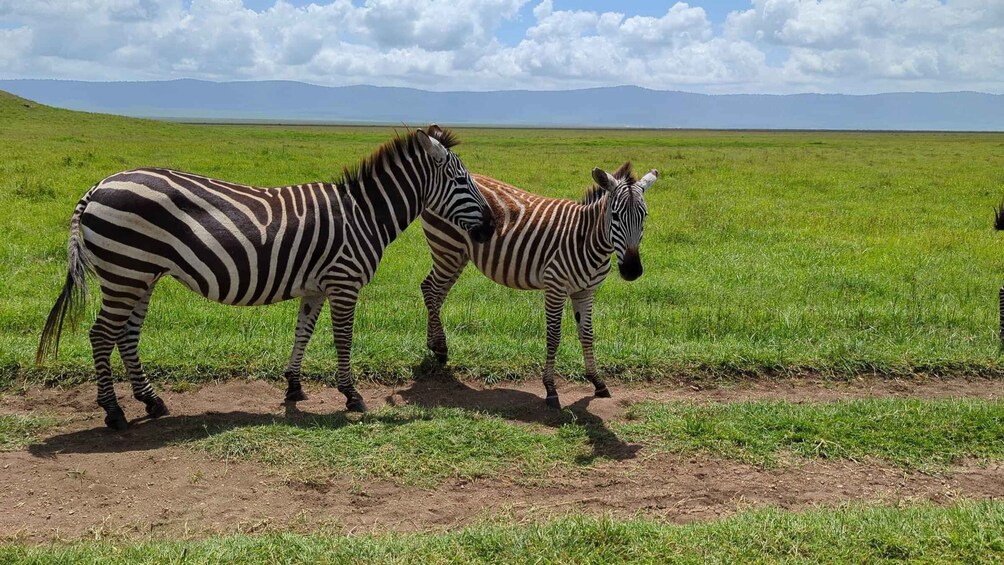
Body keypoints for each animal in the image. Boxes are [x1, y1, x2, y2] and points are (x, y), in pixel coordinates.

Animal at [36, 125, 494, 430]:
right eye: (461, 180)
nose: (490, 227)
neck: (364, 214)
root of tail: (97, 187)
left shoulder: (316, 286)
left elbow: (303, 333)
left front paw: (293, 387)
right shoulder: (344, 282)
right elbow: (343, 340)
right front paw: (351, 395)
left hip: (139, 275)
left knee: (125, 337)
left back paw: (152, 402)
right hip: (125, 271)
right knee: (101, 335)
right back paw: (114, 413)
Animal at [420, 162, 658, 409]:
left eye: (644, 216)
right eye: (615, 216)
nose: (632, 270)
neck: (587, 239)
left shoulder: (585, 292)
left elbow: (587, 334)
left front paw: (597, 381)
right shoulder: (555, 288)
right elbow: (553, 337)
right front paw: (550, 389)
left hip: (458, 255)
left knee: (435, 293)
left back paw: (435, 346)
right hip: (447, 248)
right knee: (431, 290)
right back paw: (441, 348)